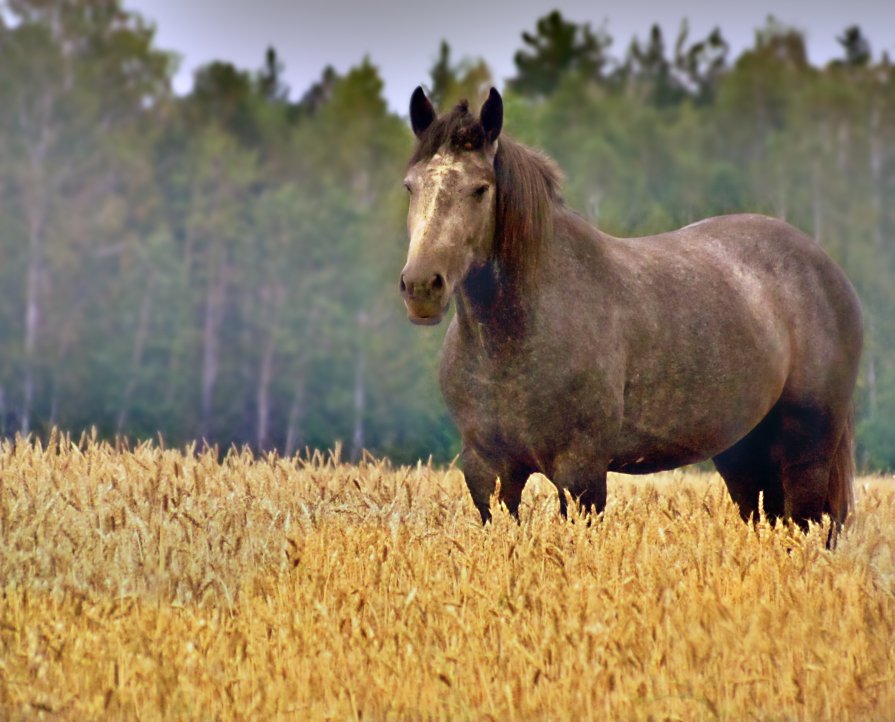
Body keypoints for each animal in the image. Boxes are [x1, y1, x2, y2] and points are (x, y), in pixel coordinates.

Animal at [400, 86, 860, 536]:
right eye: (410, 186)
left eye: (480, 188)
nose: (421, 286)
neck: (512, 339)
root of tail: (829, 271)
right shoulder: (488, 473)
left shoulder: (581, 473)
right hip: (743, 453)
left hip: (806, 452)